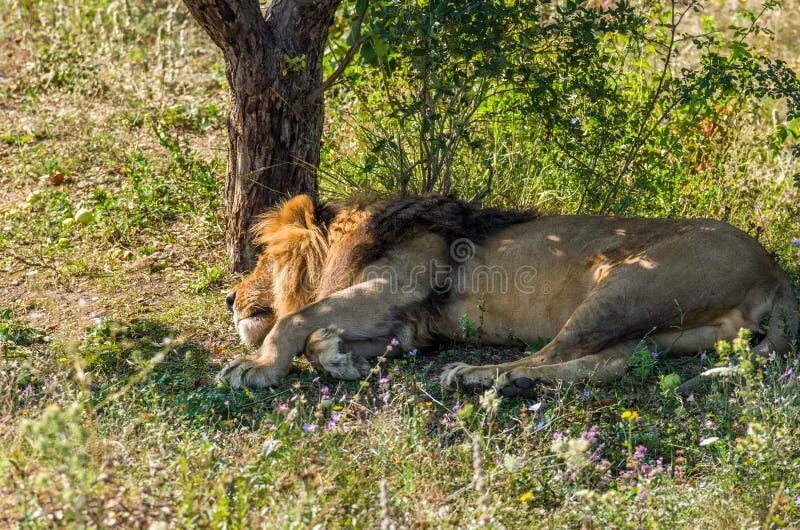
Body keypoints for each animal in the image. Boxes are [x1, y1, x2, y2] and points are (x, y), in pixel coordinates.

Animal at [219, 192, 800, 394]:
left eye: (263, 260)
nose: (229, 299)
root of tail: (776, 270)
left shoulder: (394, 287)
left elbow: (294, 320)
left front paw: (256, 367)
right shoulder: (408, 326)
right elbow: (320, 335)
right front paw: (339, 358)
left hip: (625, 284)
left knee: (554, 352)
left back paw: (477, 376)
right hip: (666, 329)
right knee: (606, 364)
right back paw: (516, 384)